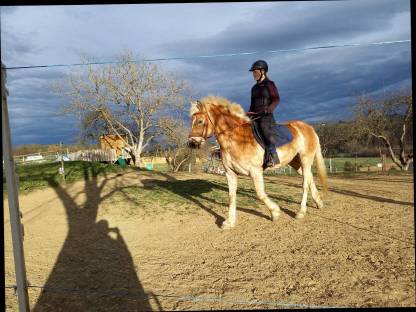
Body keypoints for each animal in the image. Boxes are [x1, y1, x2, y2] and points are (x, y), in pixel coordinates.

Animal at [188, 95, 328, 229]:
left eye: (200, 121)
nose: (191, 143)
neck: (236, 138)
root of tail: (308, 127)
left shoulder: (255, 171)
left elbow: (260, 194)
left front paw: (275, 212)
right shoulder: (230, 173)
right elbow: (231, 196)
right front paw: (230, 222)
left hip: (305, 159)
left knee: (305, 184)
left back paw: (301, 212)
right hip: (295, 162)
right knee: (309, 178)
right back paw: (319, 202)